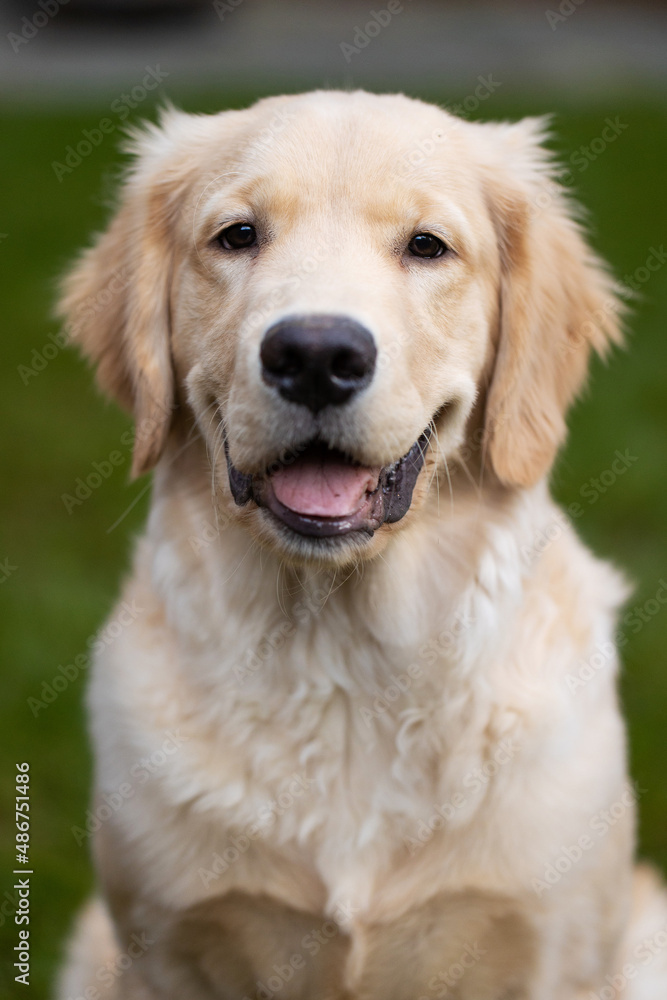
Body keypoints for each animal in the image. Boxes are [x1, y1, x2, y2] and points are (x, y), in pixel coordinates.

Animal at [57, 90, 667, 996]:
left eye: (427, 245)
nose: (315, 355)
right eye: (237, 234)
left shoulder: (558, 949)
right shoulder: (162, 950)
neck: (339, 651)